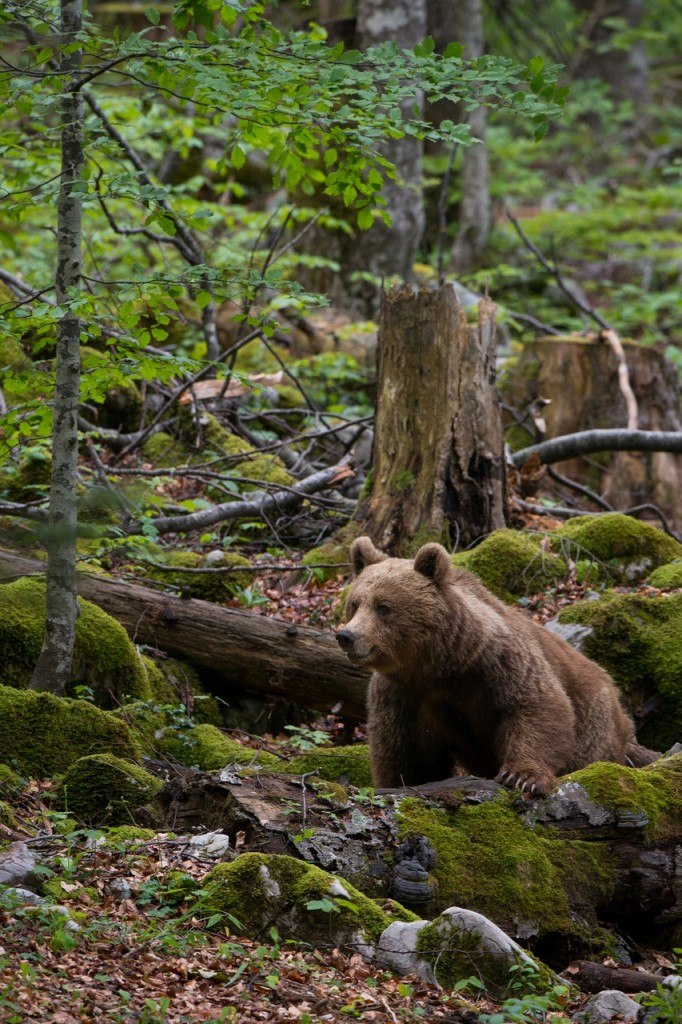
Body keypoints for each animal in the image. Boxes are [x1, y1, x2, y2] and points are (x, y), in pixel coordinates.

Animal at [336, 536, 637, 797]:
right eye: (355, 603)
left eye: (383, 606)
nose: (346, 636)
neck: (438, 665)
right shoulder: (402, 694)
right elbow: (406, 754)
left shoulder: (497, 663)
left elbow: (536, 705)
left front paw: (522, 777)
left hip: (594, 717)